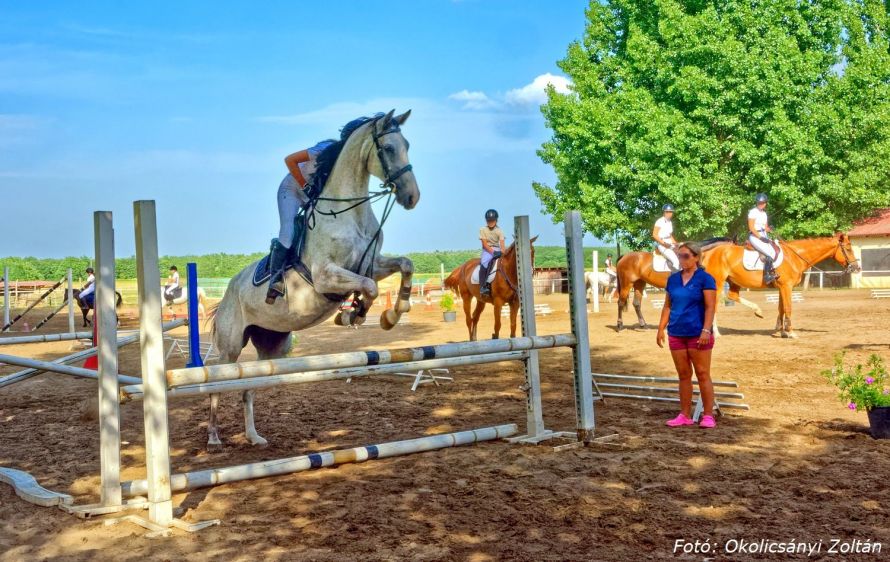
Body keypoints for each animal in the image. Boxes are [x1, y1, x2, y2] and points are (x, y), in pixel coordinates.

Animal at [207, 110, 419, 451]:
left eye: (407, 145)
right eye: (387, 148)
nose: (412, 196)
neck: (348, 213)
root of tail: (228, 291)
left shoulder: (371, 264)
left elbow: (404, 265)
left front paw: (392, 313)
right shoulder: (324, 277)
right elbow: (370, 288)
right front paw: (353, 314)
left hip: (274, 347)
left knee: (248, 388)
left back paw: (254, 436)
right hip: (230, 347)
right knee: (216, 381)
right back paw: (213, 436)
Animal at [701, 233, 860, 338]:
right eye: (848, 249)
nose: (857, 268)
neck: (795, 257)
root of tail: (709, 253)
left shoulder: (782, 288)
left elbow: (781, 308)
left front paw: (780, 330)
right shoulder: (786, 286)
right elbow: (788, 308)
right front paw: (790, 332)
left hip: (733, 281)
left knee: (732, 296)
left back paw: (758, 311)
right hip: (718, 283)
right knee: (714, 305)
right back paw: (716, 333)